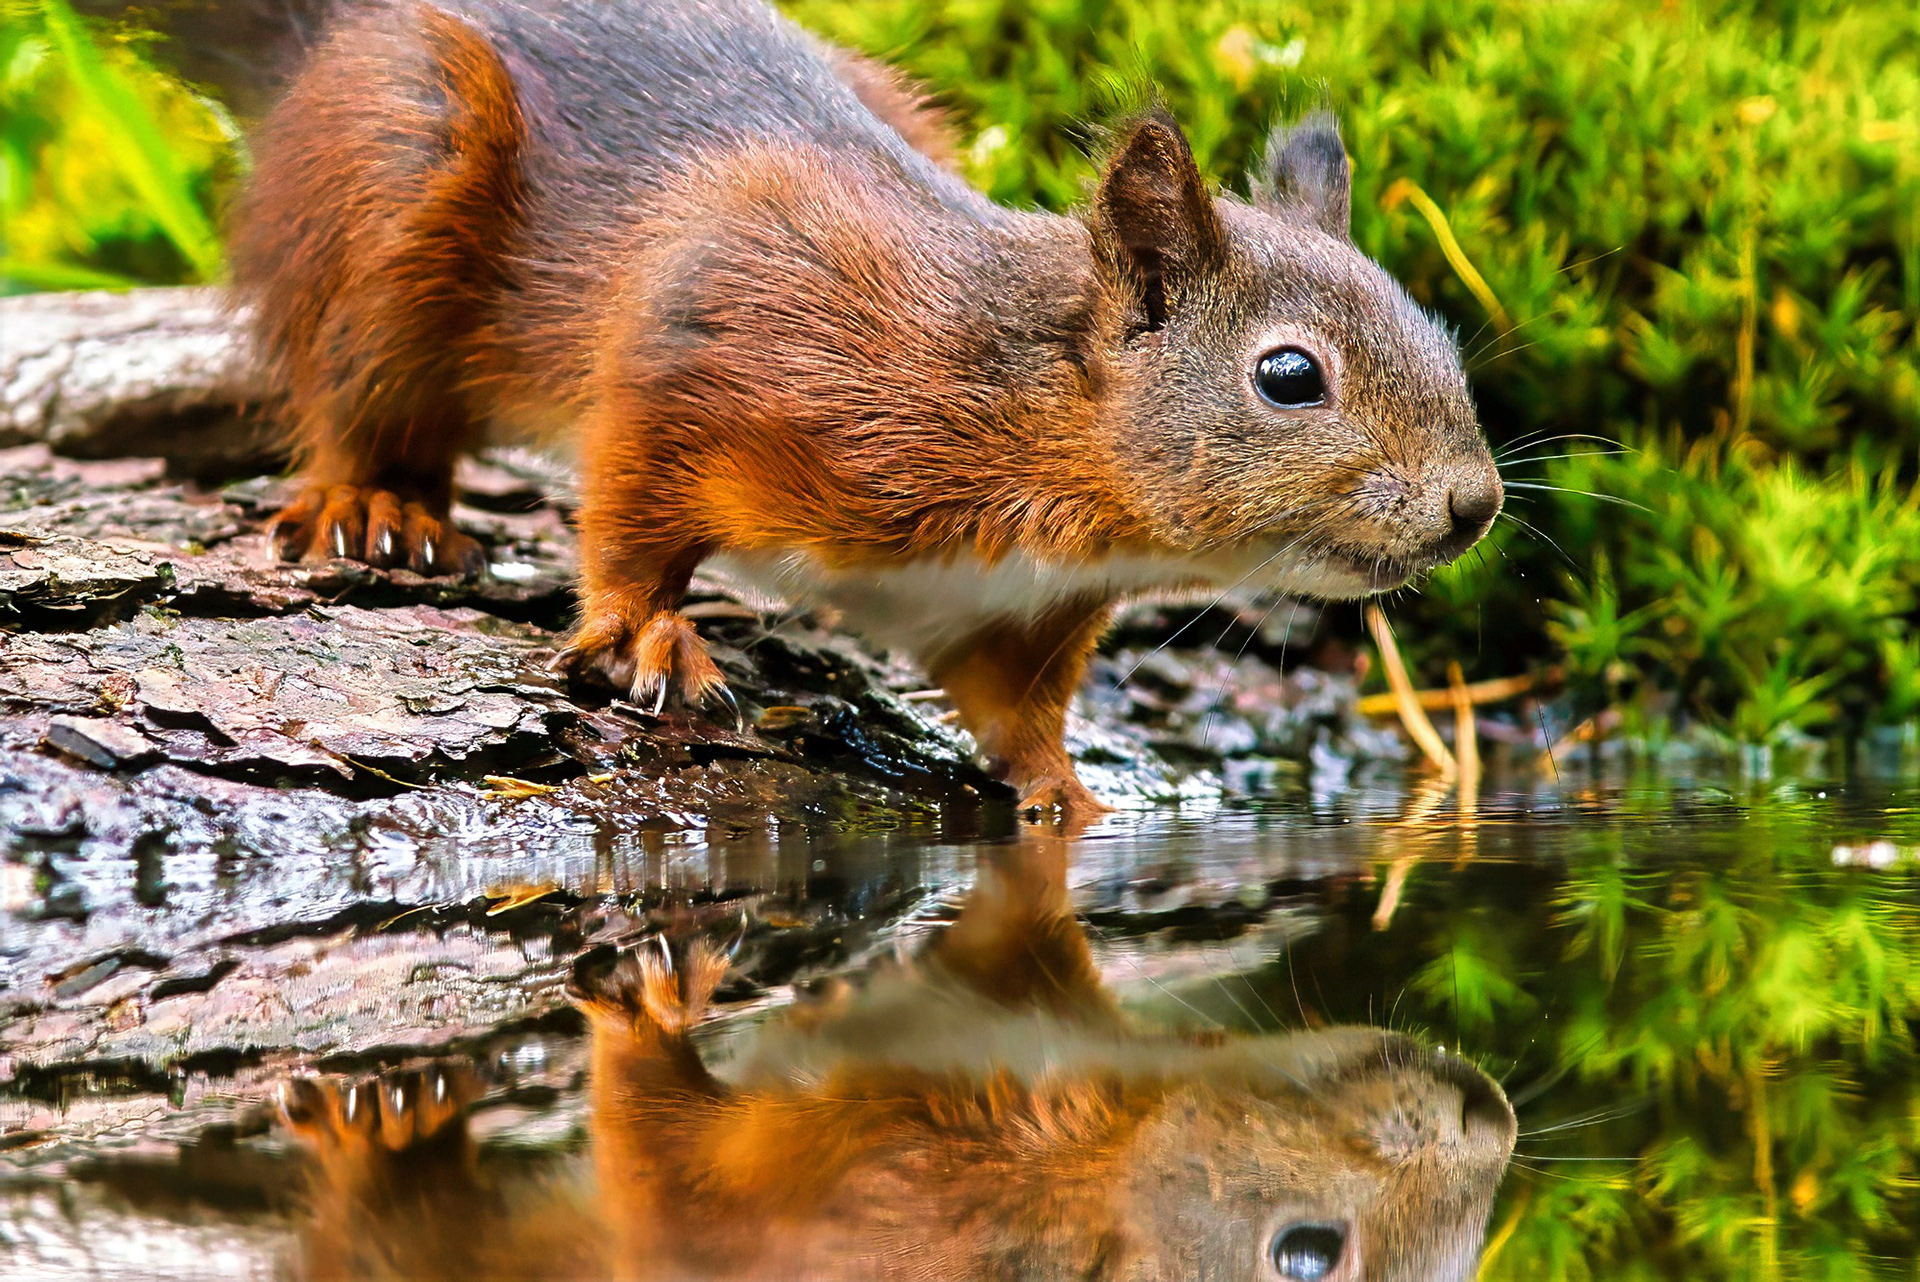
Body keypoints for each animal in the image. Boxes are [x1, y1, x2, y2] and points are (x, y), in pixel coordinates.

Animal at [233, 0, 1503, 814]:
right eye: (1290, 376)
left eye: (1439, 331)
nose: (1477, 504)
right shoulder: (718, 328)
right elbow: (634, 504)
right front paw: (643, 628)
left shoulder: (1001, 615)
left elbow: (1016, 719)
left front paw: (1070, 799)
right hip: (398, 172)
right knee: (358, 392)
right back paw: (376, 504)